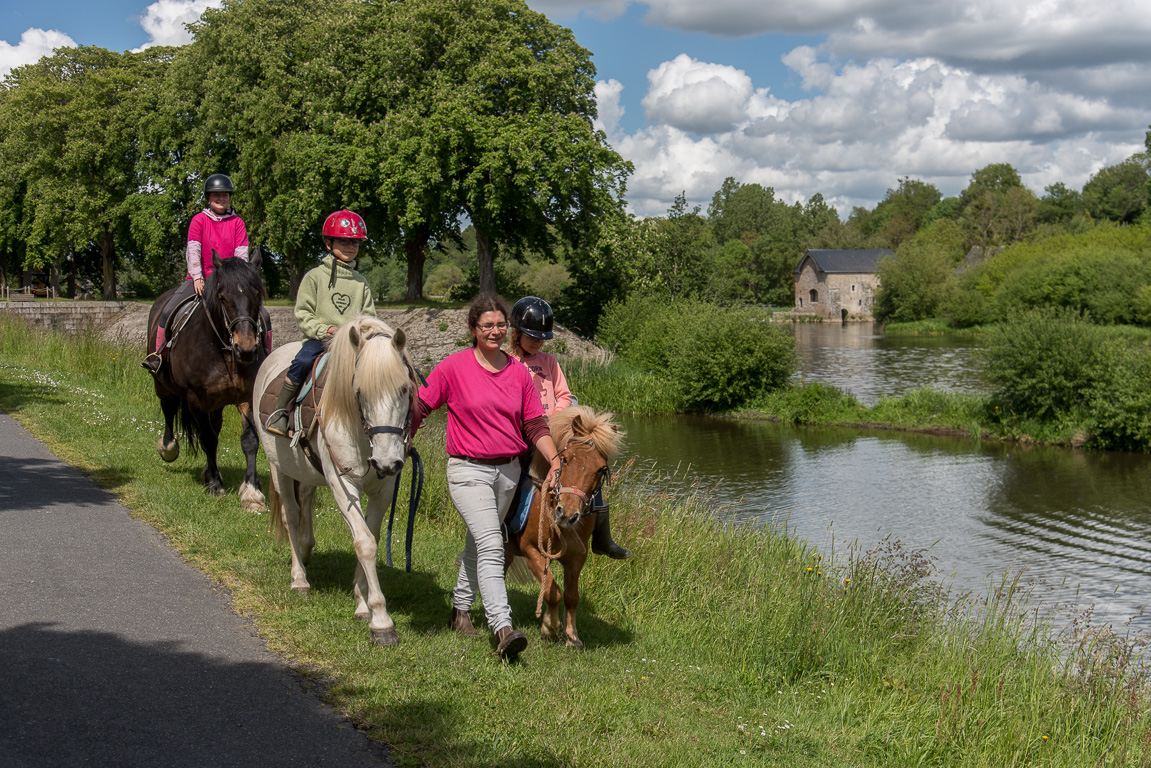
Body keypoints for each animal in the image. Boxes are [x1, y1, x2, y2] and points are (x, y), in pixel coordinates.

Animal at [145, 252, 265, 511]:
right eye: (222, 297)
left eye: (257, 294)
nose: (246, 349)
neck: (224, 351)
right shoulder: (196, 400)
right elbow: (208, 439)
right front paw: (215, 485)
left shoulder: (246, 397)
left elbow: (249, 440)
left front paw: (252, 492)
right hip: (162, 384)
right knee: (169, 408)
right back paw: (169, 448)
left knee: (215, 425)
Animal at [254, 315, 416, 644]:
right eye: (359, 392)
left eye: (405, 389)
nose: (387, 462)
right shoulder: (344, 485)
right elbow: (364, 542)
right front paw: (381, 620)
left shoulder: (383, 489)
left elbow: (371, 536)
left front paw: (362, 602)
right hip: (279, 469)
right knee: (290, 514)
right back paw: (299, 578)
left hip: (305, 471)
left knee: (305, 501)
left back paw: (306, 551)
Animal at [508, 405, 626, 654]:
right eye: (564, 458)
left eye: (601, 469)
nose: (567, 514)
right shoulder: (532, 551)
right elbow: (552, 591)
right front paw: (549, 628)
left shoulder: (577, 557)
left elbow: (572, 596)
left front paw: (572, 636)